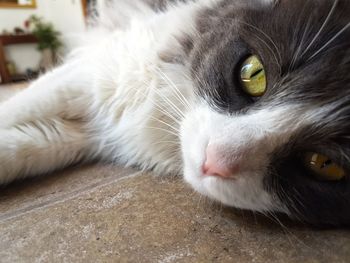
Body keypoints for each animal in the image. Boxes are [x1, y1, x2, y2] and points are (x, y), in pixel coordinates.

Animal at [0, 0, 350, 227]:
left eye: (324, 164)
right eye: (253, 73)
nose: (215, 161)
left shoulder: (90, 133)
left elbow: (25, 146)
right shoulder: (100, 70)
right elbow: (20, 109)